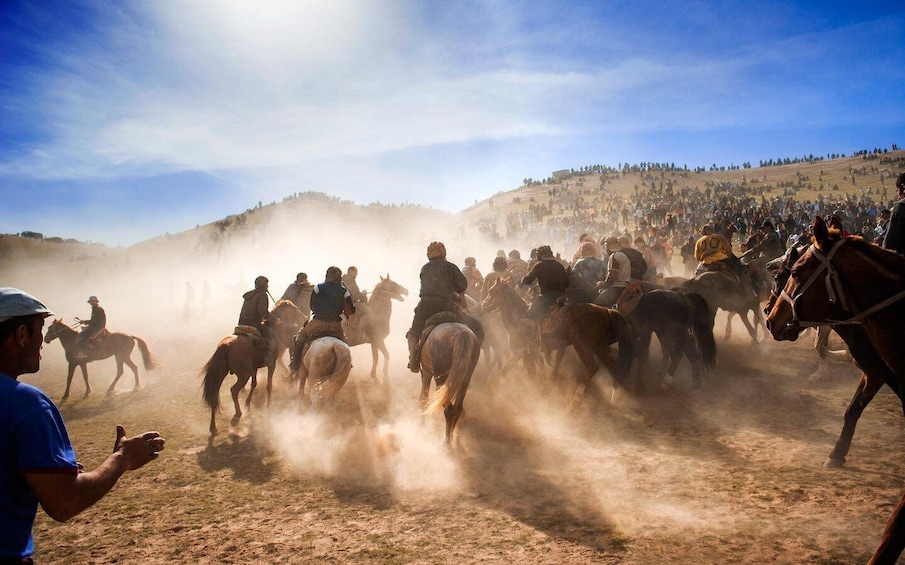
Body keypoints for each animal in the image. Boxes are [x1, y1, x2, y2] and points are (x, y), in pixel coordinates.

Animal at [201, 300, 308, 436]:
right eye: (294, 309)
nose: (304, 317)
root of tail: (226, 345)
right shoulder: (271, 364)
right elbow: (268, 385)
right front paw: (268, 404)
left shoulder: (254, 368)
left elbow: (254, 384)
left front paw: (248, 403)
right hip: (243, 375)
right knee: (234, 390)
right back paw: (236, 416)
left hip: (221, 373)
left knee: (214, 396)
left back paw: (213, 427)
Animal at [764, 215, 904, 560]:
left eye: (791, 272)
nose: (770, 317)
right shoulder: (874, 373)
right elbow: (851, 411)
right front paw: (837, 453)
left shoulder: (879, 372)